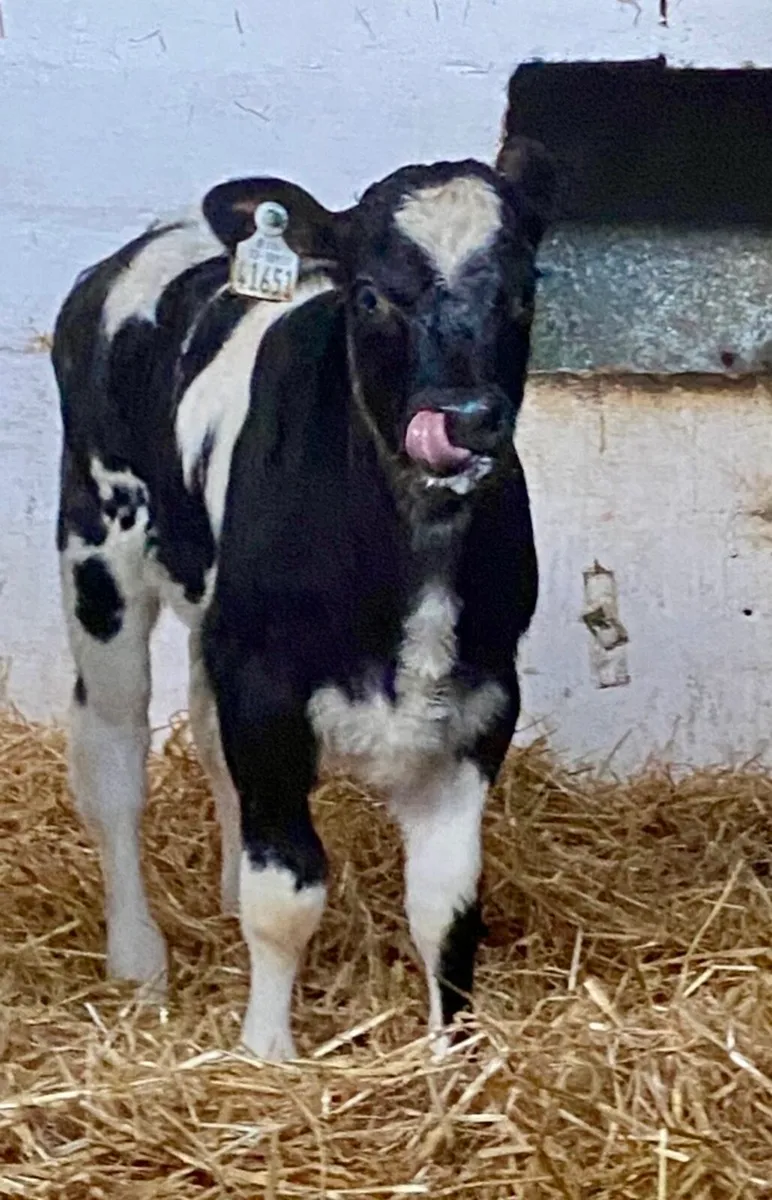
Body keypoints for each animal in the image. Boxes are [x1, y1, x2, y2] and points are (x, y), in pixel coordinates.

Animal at [52, 137, 555, 1060]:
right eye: (372, 294)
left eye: (522, 289)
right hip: (97, 554)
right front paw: (266, 1053)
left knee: (205, 737)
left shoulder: (484, 700)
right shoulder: (267, 690)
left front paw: (450, 1058)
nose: (466, 418)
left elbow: (448, 904)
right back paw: (137, 961)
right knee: (112, 758)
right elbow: (287, 895)